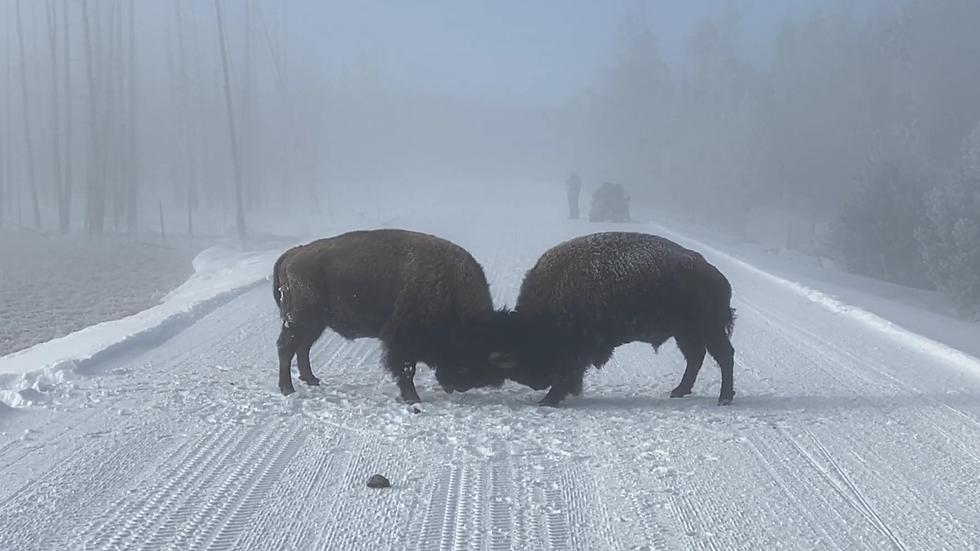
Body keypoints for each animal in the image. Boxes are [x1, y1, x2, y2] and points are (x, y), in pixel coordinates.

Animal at [272, 229, 510, 406]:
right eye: (472, 352)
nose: (456, 386)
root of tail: (291, 255)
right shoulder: (401, 341)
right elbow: (406, 370)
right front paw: (413, 399)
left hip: (314, 324)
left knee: (302, 348)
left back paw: (311, 380)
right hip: (301, 320)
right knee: (286, 348)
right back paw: (288, 389)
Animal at [490, 231, 736, 408]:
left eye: (528, 352)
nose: (538, 383)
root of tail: (717, 277)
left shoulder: (576, 350)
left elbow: (568, 373)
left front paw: (548, 400)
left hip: (707, 330)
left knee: (723, 356)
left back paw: (723, 399)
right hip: (685, 333)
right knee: (696, 357)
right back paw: (679, 391)